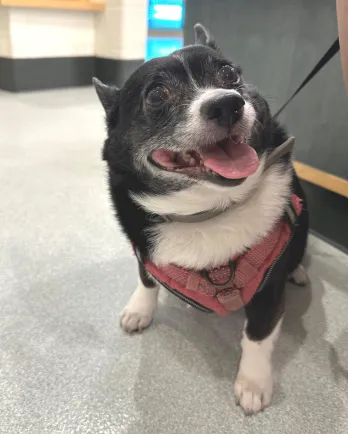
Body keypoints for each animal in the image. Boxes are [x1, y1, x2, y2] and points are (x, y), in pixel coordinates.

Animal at [94, 24, 308, 418]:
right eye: (157, 94)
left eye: (229, 74)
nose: (227, 103)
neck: (206, 211)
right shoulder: (143, 249)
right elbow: (146, 279)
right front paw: (139, 310)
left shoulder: (269, 291)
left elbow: (257, 336)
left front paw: (252, 385)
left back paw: (299, 271)